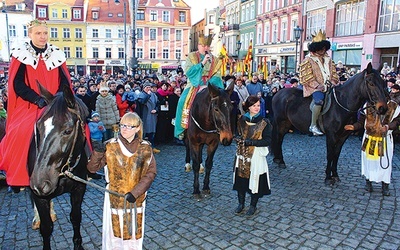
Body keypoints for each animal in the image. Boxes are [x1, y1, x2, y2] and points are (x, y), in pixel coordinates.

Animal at [28, 83, 89, 249]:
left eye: (68, 130)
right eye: (38, 127)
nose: (40, 183)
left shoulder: (79, 189)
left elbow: (76, 217)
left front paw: (78, 244)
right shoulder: (39, 197)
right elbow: (46, 227)